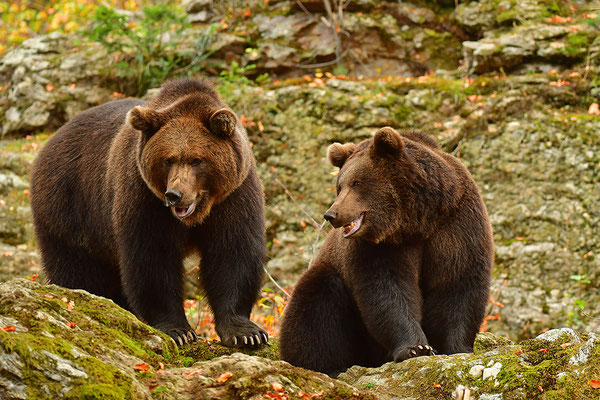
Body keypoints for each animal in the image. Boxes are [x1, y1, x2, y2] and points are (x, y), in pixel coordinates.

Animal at [30, 79, 268, 346]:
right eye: (168, 159)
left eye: (197, 160)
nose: (174, 194)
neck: (197, 214)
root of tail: (51, 140)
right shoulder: (144, 196)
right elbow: (153, 257)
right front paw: (178, 330)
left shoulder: (234, 195)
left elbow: (232, 253)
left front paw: (246, 333)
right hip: (70, 204)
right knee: (76, 266)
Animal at [280, 127, 492, 376]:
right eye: (339, 186)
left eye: (357, 182)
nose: (331, 214)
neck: (416, 221)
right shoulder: (380, 247)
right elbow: (388, 289)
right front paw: (416, 347)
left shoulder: (457, 223)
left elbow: (458, 283)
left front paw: (458, 347)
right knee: (317, 302)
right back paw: (327, 366)